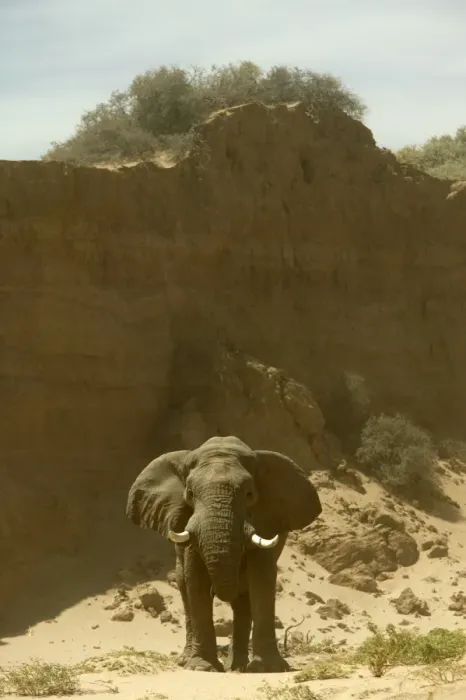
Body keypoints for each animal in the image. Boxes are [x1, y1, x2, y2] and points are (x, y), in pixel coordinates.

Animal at [126, 435, 322, 673]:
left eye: (249, 494)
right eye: (189, 494)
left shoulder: (266, 519)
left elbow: (262, 579)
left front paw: (269, 668)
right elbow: (195, 579)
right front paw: (201, 667)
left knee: (243, 602)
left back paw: (237, 667)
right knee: (185, 587)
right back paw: (191, 661)